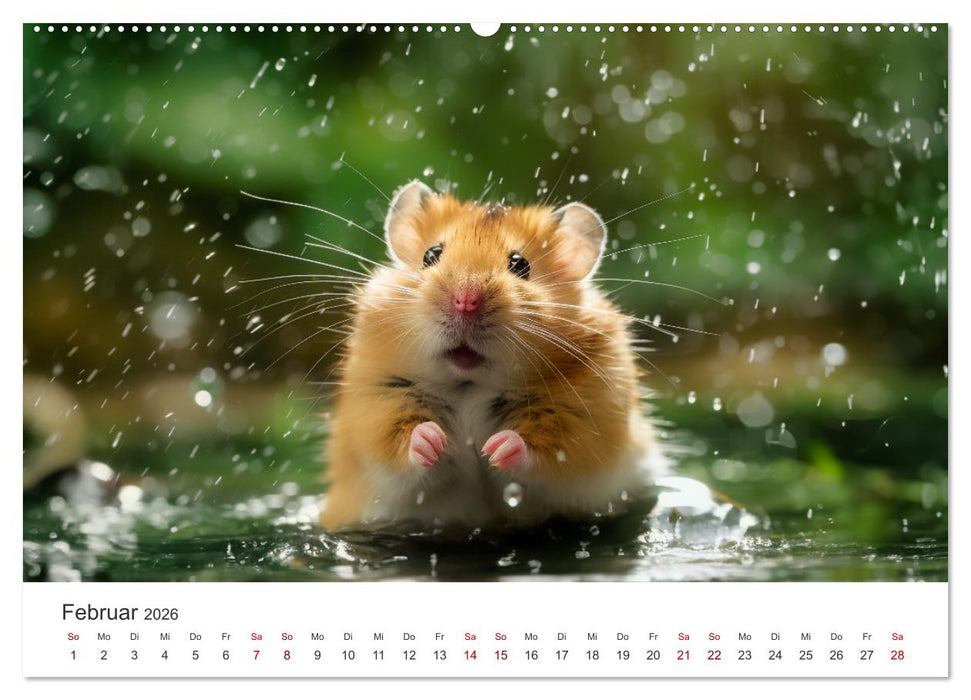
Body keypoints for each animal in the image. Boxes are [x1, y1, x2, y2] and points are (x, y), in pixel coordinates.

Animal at [319, 180, 663, 530]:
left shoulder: (581, 419)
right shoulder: (379, 403)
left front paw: (495, 449)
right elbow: (399, 442)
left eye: (521, 265)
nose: (465, 301)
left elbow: (544, 449)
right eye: (431, 255)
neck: (470, 383)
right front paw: (436, 441)